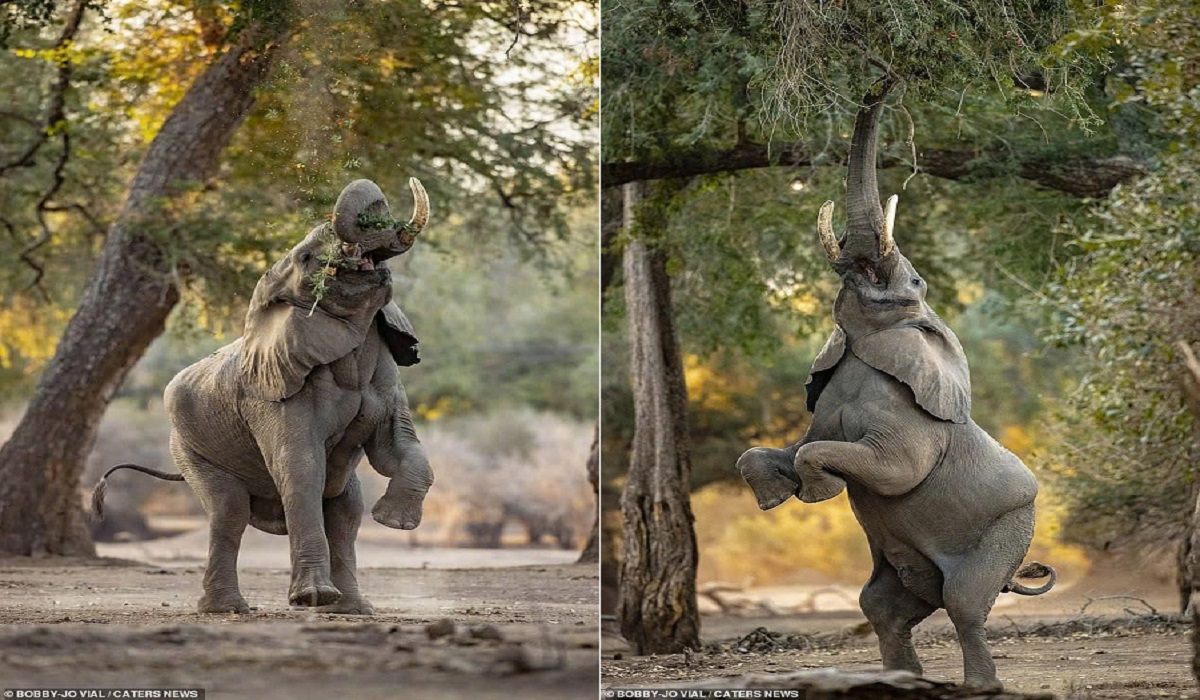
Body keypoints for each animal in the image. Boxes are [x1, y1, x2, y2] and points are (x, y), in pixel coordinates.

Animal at [91, 177, 436, 614]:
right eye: (307, 258)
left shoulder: (387, 383)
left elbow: (399, 449)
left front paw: (393, 521)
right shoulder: (273, 396)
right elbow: (301, 468)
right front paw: (309, 598)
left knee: (346, 511)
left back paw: (353, 609)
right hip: (190, 449)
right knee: (229, 511)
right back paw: (229, 609)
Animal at [734, 84, 1056, 691]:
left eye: (916, 281)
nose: (886, 80)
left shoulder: (911, 424)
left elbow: (891, 469)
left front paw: (817, 491)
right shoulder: (823, 403)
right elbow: (778, 448)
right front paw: (773, 497)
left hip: (1006, 529)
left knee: (963, 601)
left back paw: (979, 688)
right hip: (910, 569)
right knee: (882, 604)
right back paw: (902, 681)